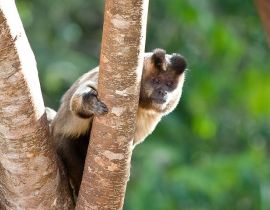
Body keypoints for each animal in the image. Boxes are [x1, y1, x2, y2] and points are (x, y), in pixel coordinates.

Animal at [49, 48, 187, 197]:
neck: (140, 103)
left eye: (169, 84)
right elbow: (80, 98)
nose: (163, 92)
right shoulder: (103, 80)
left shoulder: (152, 116)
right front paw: (90, 104)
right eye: (156, 81)